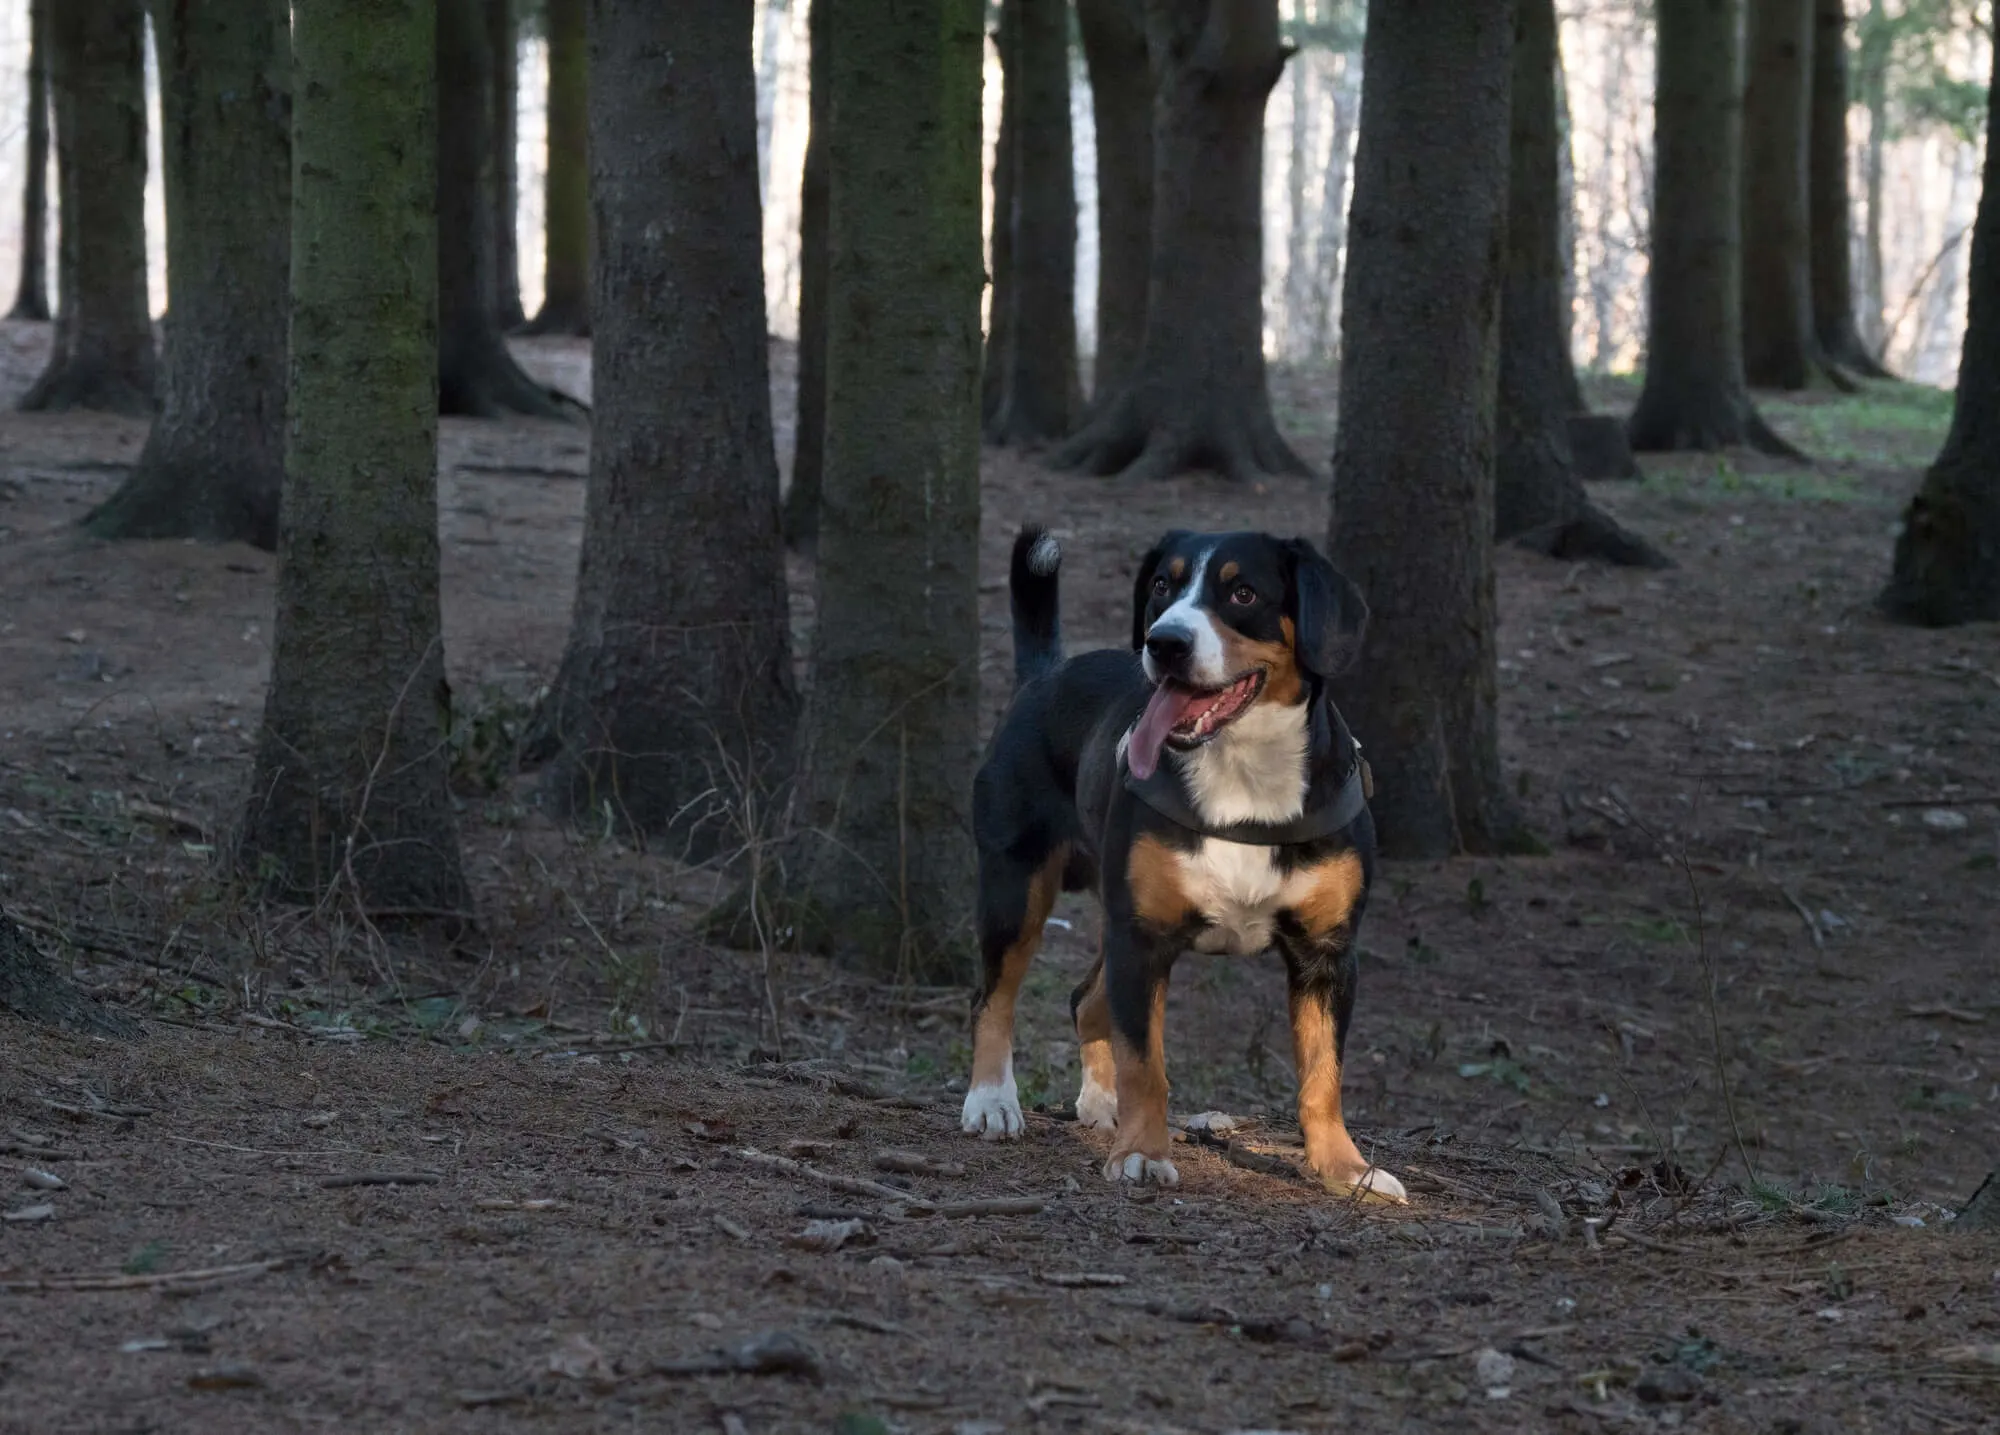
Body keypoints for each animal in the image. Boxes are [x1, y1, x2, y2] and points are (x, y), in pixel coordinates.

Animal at [956, 523, 1408, 1199]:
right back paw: (991, 1102)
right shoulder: (1144, 940)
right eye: (1162, 587)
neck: (1245, 782)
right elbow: (1147, 1064)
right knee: (995, 997)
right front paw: (1142, 1153)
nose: (1163, 642)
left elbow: (1322, 1075)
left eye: (1243, 592)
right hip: (1016, 884)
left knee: (1085, 1000)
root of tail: (1045, 674)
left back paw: (1100, 1104)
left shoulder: (1327, 953)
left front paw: (1345, 1168)